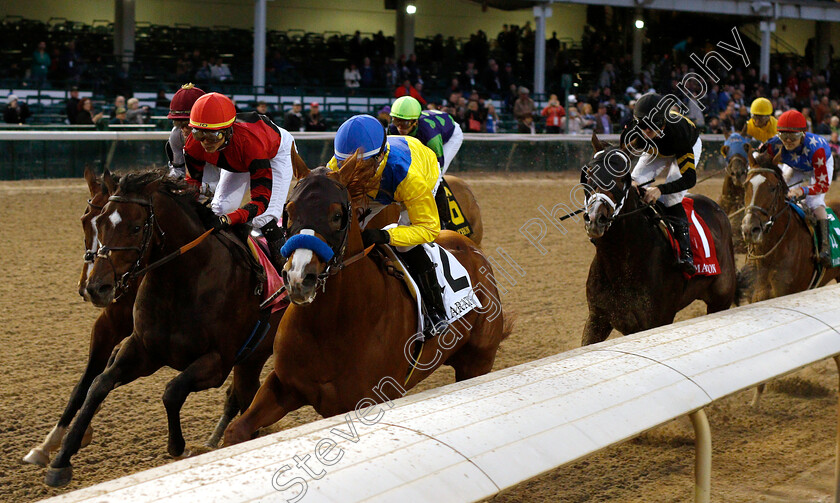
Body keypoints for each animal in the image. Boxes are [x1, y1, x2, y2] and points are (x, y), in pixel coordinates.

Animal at [44, 170, 278, 488]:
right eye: (96, 221)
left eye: (136, 227)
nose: (95, 287)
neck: (183, 282)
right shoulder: (142, 348)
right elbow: (97, 384)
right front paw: (60, 457)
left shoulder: (218, 361)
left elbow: (172, 391)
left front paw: (178, 446)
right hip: (252, 357)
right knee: (243, 396)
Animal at [221, 158, 512, 444]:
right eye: (289, 211)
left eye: (337, 216)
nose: (298, 277)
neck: (329, 326)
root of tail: (473, 250)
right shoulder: (283, 386)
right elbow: (237, 431)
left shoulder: (363, 403)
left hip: (476, 364)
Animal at [576, 134, 736, 346]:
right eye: (589, 173)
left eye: (622, 177)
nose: (595, 218)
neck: (620, 263)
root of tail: (718, 209)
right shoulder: (597, 319)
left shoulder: (656, 320)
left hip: (721, 300)